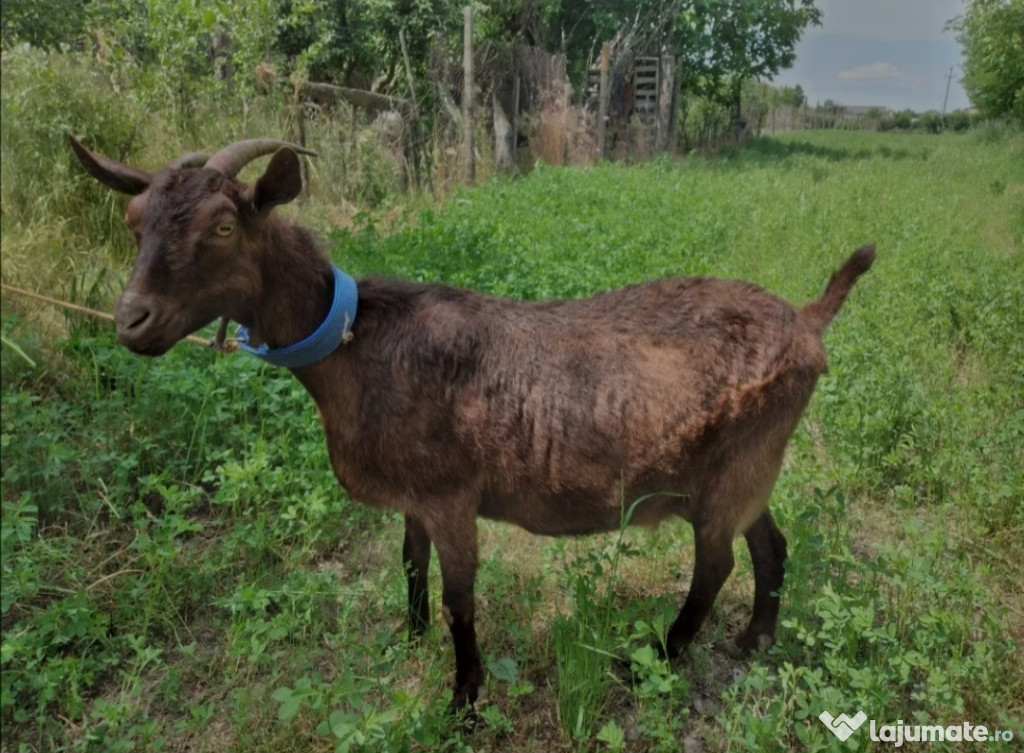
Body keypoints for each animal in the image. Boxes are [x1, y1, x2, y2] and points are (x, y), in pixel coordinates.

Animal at [70, 137, 872, 717]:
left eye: (224, 225)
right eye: (134, 225)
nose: (131, 321)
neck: (360, 342)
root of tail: (809, 320)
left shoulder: (451, 495)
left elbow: (461, 599)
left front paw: (462, 699)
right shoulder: (414, 497)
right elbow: (408, 562)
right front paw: (409, 635)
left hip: (732, 469)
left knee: (717, 565)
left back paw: (656, 660)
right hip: (746, 470)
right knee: (769, 545)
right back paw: (756, 637)